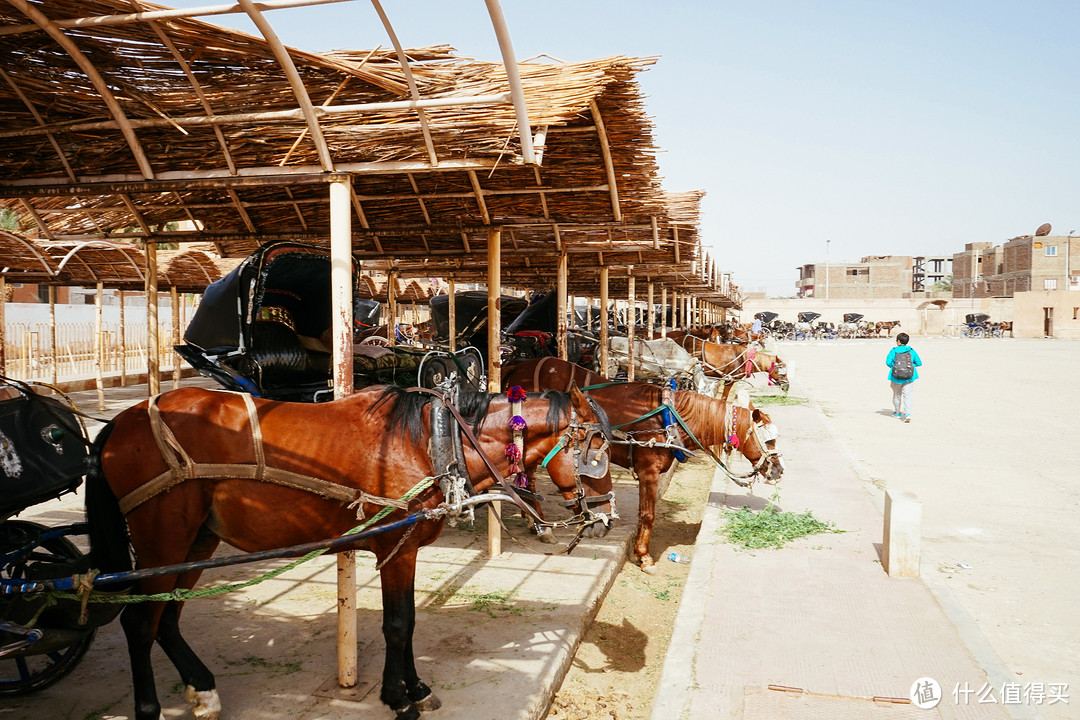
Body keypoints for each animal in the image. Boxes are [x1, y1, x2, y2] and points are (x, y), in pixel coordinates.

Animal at [85, 386, 613, 720]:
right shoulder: (396, 548)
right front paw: (399, 698)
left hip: (196, 541)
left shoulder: (404, 548)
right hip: (162, 541)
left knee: (167, 619)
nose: (607, 516)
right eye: (599, 449)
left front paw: (413, 688)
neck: (434, 442)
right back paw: (150, 708)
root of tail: (121, 421)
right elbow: (398, 624)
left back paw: (204, 691)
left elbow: (407, 621)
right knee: (140, 623)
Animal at [501, 360, 781, 574]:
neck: (670, 419)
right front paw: (644, 556)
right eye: (768, 439)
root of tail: (519, 366)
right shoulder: (649, 472)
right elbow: (647, 515)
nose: (778, 470)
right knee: (529, 479)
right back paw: (541, 527)